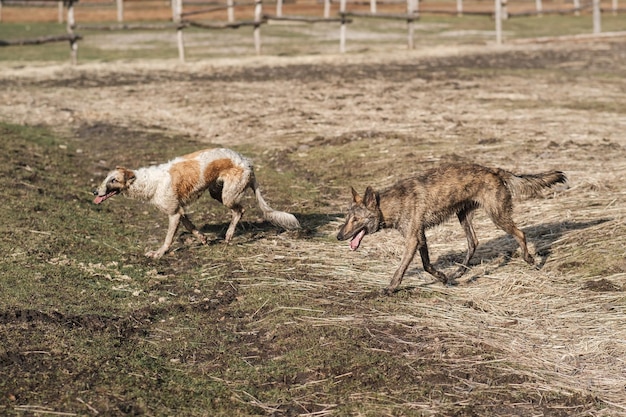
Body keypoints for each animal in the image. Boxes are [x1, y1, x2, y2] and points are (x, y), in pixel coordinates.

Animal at [91, 146, 298, 256]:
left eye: (113, 180)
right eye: (106, 178)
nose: (94, 191)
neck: (147, 181)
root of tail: (246, 161)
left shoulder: (174, 214)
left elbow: (168, 240)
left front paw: (158, 254)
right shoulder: (180, 211)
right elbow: (191, 226)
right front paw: (203, 239)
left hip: (228, 196)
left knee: (240, 210)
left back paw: (229, 236)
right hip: (216, 192)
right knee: (238, 210)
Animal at [336, 162, 564, 292]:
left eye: (356, 220)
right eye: (347, 218)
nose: (338, 236)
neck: (390, 204)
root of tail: (494, 170)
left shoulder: (413, 239)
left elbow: (401, 269)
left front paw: (391, 288)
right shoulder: (421, 238)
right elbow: (427, 265)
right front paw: (443, 277)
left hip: (498, 217)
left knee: (521, 233)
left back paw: (530, 259)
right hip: (463, 217)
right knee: (474, 242)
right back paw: (459, 273)